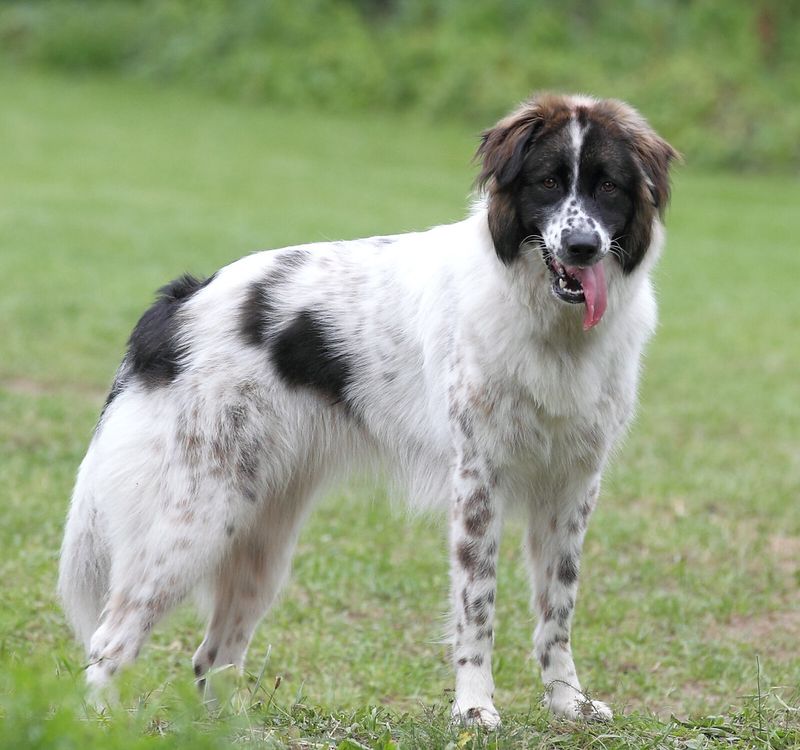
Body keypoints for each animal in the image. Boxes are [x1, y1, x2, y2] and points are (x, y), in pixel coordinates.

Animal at [59, 94, 676, 728]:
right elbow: (477, 605)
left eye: (608, 187)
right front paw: (474, 707)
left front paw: (567, 701)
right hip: (192, 522)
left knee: (213, 656)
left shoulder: (572, 486)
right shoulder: (478, 482)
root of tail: (184, 299)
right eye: (548, 182)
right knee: (110, 640)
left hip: (260, 539)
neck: (552, 326)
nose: (582, 248)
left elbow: (559, 607)